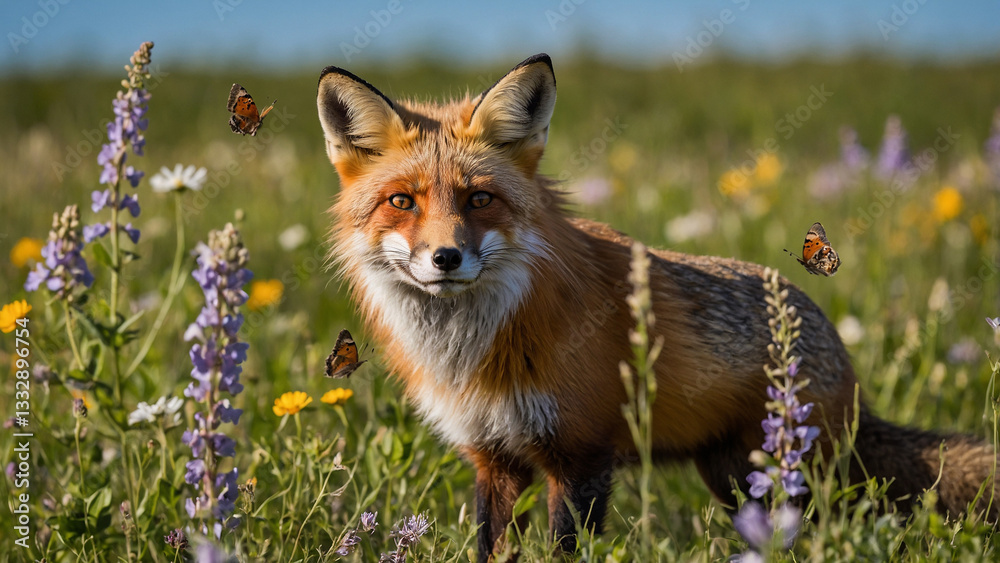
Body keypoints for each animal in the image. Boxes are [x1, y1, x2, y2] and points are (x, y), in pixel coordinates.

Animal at [316, 54, 999, 561]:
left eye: (479, 198)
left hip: (794, 476)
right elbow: (493, 546)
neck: (477, 350)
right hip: (738, 479)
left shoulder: (582, 454)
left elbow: (566, 549)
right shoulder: (495, 459)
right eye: (402, 202)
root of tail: (831, 339)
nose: (446, 258)